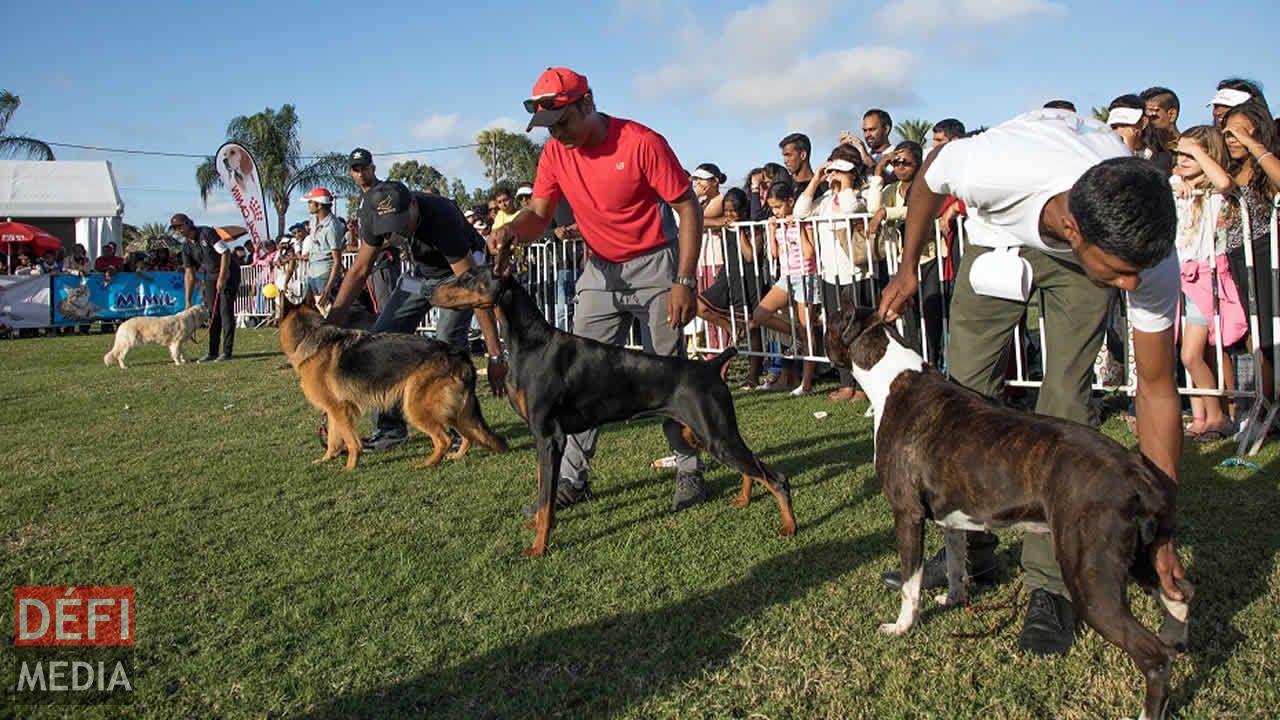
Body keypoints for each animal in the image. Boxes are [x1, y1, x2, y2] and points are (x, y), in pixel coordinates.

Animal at [277, 297, 506, 471]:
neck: (309, 336)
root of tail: (458, 354)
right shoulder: (335, 412)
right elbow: (334, 439)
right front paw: (327, 459)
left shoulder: (340, 411)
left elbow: (351, 442)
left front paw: (350, 467)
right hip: (452, 411)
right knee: (467, 436)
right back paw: (456, 456)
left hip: (415, 409)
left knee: (444, 440)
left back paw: (427, 464)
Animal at [435, 265, 793, 556]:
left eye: (468, 277)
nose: (429, 291)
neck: (530, 343)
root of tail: (712, 365)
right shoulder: (542, 439)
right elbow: (542, 492)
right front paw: (535, 524)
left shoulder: (549, 437)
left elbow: (547, 500)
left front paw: (539, 546)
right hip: (708, 433)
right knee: (755, 467)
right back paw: (744, 499)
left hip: (715, 435)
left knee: (777, 478)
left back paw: (789, 526)